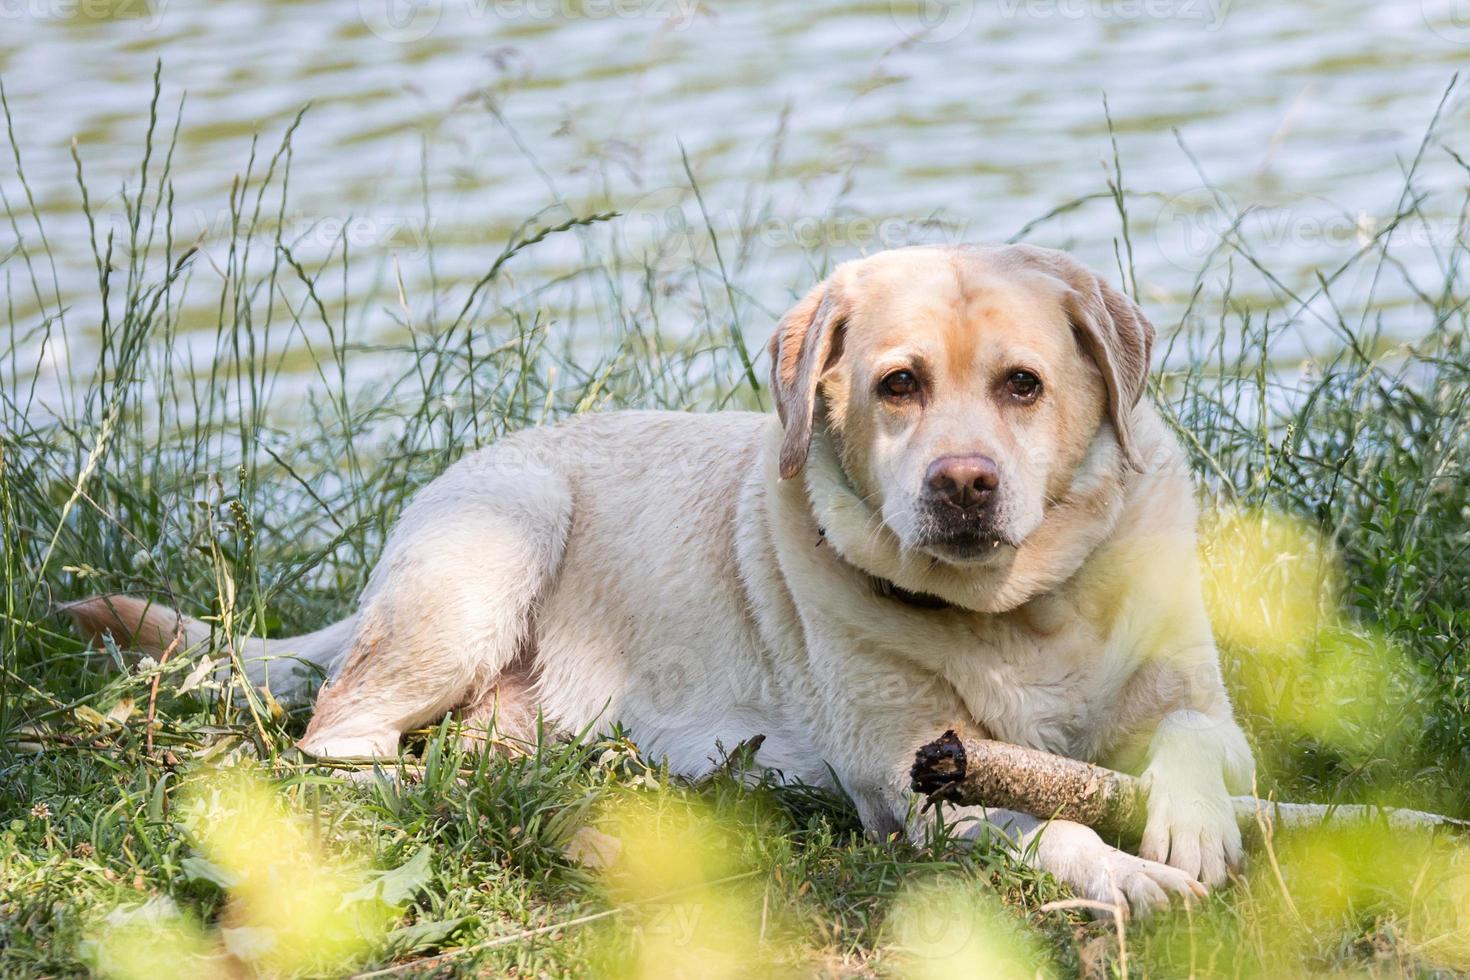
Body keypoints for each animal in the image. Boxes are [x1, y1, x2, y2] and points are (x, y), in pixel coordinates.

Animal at [71, 240, 1252, 916]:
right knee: (341, 740)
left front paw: (1189, 827)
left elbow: (1194, 739)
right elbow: (1050, 827)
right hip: (496, 547)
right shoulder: (909, 783)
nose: (963, 484)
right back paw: (468, 793)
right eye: (899, 385)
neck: (1019, 610)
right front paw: (1128, 870)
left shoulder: (1204, 702)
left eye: (1023, 385)